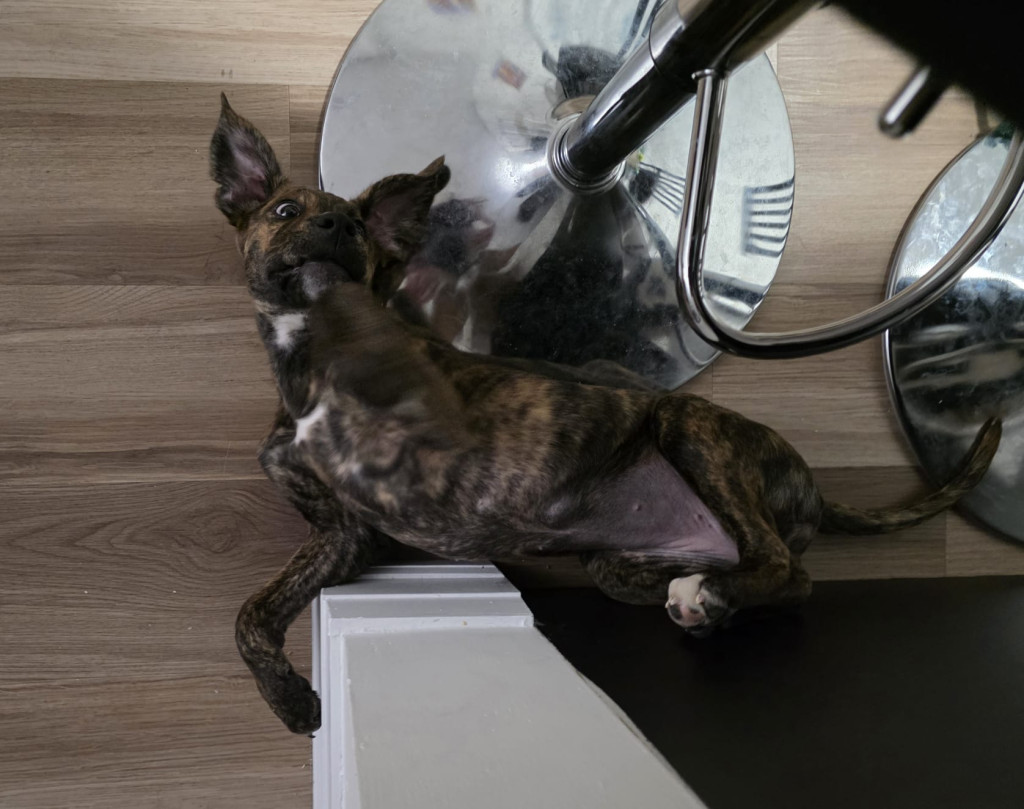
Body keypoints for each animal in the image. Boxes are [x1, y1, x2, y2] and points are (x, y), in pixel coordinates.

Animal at [210, 96, 1001, 734]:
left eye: (360, 230)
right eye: (285, 212)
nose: (335, 224)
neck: (317, 353)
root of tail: (810, 485)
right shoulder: (344, 536)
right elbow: (251, 612)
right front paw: (289, 699)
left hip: (686, 422)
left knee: (782, 565)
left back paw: (711, 596)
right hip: (615, 564)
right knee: (777, 575)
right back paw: (710, 605)